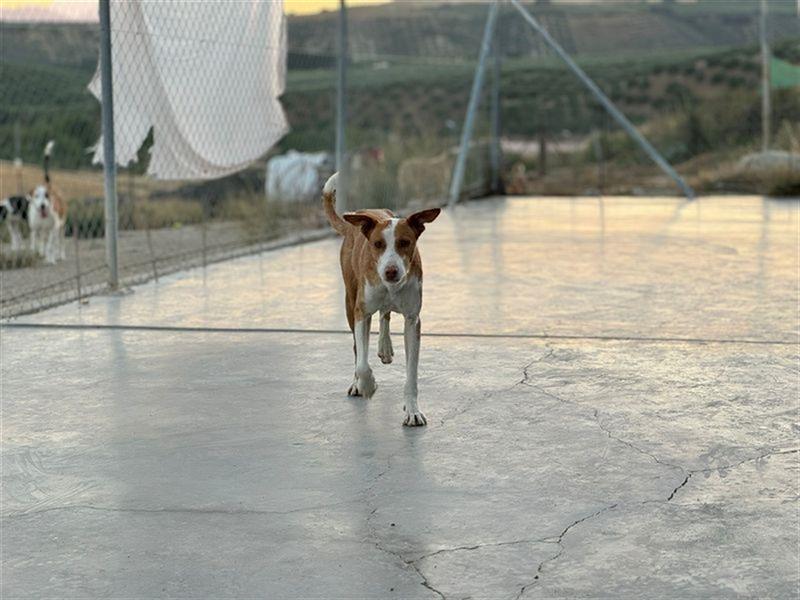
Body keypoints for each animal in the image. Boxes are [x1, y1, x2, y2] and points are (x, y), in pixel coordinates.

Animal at [322, 173, 440, 426]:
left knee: (385, 314)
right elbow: (362, 362)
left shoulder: (413, 320)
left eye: (405, 242)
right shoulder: (361, 312)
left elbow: (411, 373)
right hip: (350, 300)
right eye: (377, 244)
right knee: (357, 347)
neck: (390, 287)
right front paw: (367, 384)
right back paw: (358, 382)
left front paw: (412, 410)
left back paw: (385, 346)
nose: (391, 271)